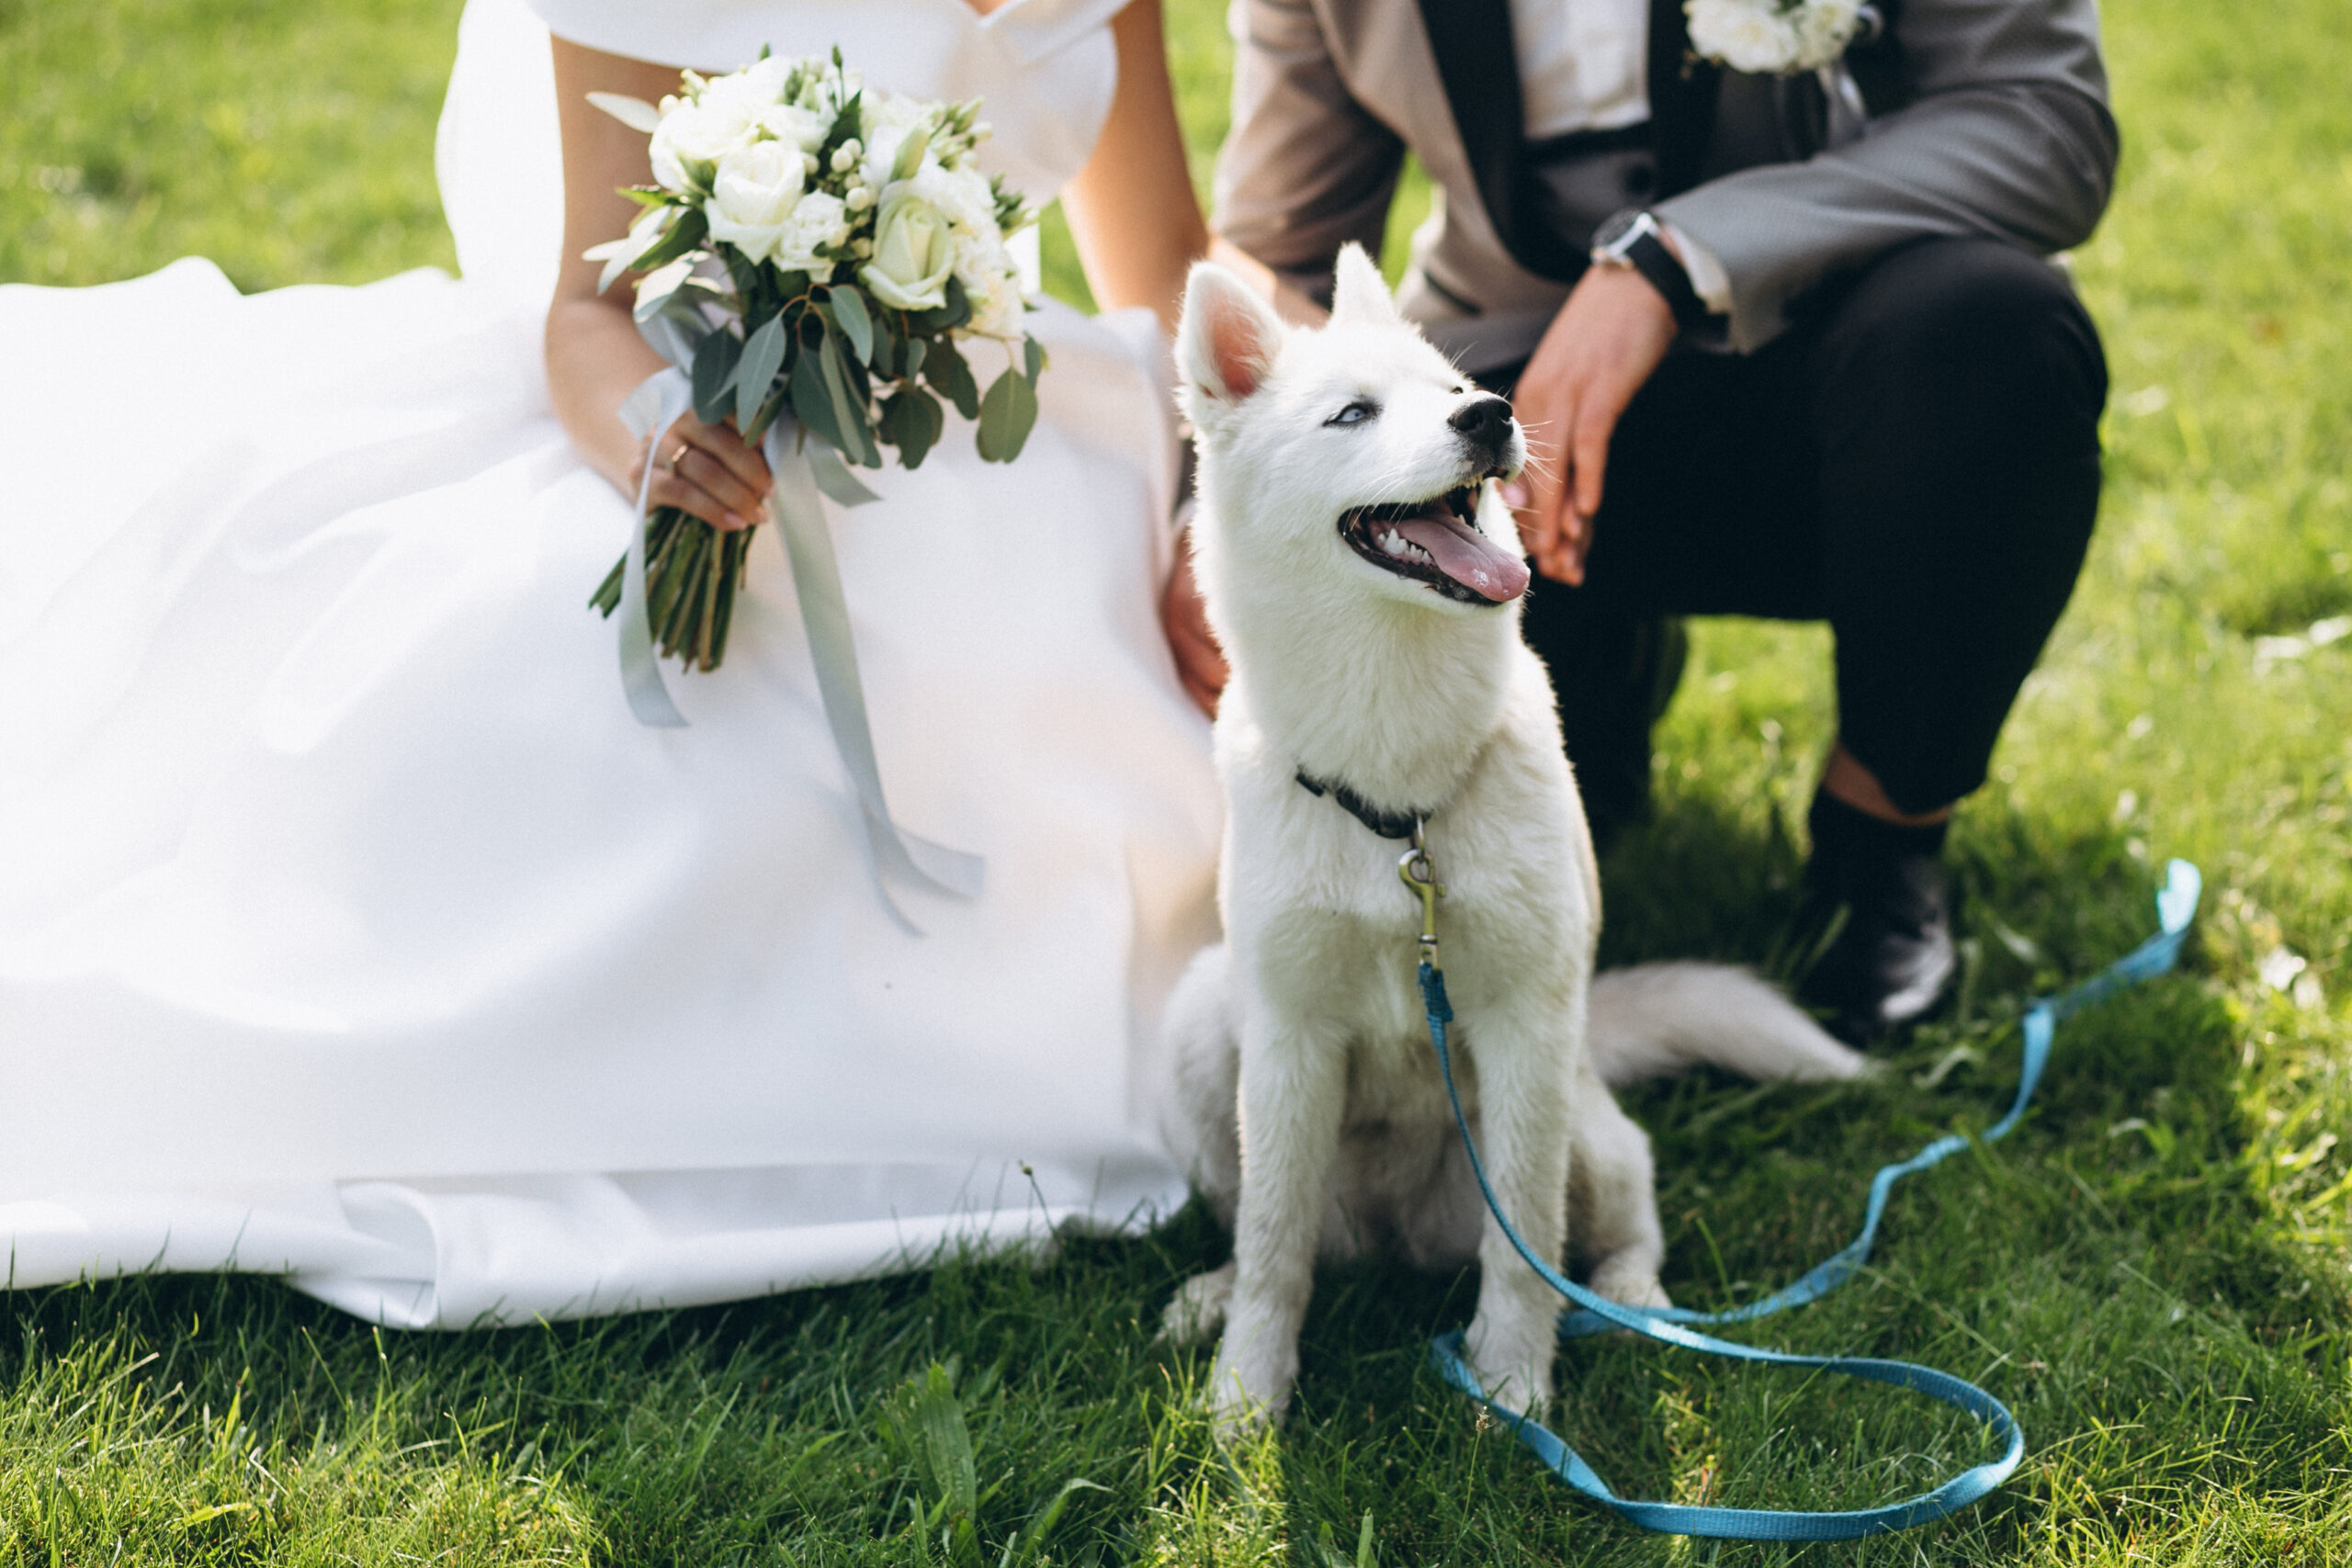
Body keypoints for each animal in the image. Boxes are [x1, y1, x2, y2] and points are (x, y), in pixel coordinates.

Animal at [1161, 242, 1871, 1419]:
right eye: (1352, 413)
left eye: (1453, 388)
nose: (1491, 415)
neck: (1398, 800)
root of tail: (1402, 1239)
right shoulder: (1288, 1036)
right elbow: (1272, 1244)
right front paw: (1246, 1400)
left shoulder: (1525, 1028)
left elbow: (1525, 1240)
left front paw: (1510, 1386)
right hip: (1206, 1025)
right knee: (1290, 1234)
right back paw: (1212, 1294)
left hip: (1581, 1117)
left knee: (1617, 1220)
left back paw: (1633, 1305)